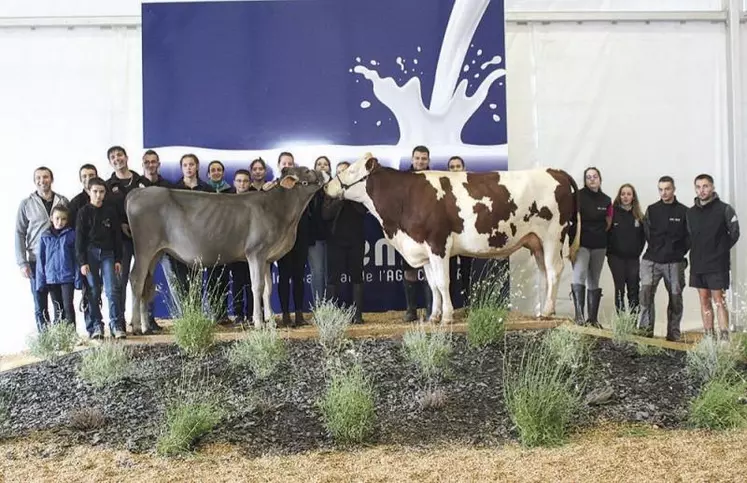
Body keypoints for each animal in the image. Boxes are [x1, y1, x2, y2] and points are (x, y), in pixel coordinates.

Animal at [324, 153, 580, 324]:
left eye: (351, 171)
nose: (327, 186)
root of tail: (555, 171)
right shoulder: (424, 250)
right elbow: (432, 284)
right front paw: (434, 316)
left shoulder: (438, 244)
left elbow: (443, 282)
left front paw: (446, 316)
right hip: (536, 241)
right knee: (545, 272)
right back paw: (545, 310)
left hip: (552, 236)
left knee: (554, 270)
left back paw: (546, 311)